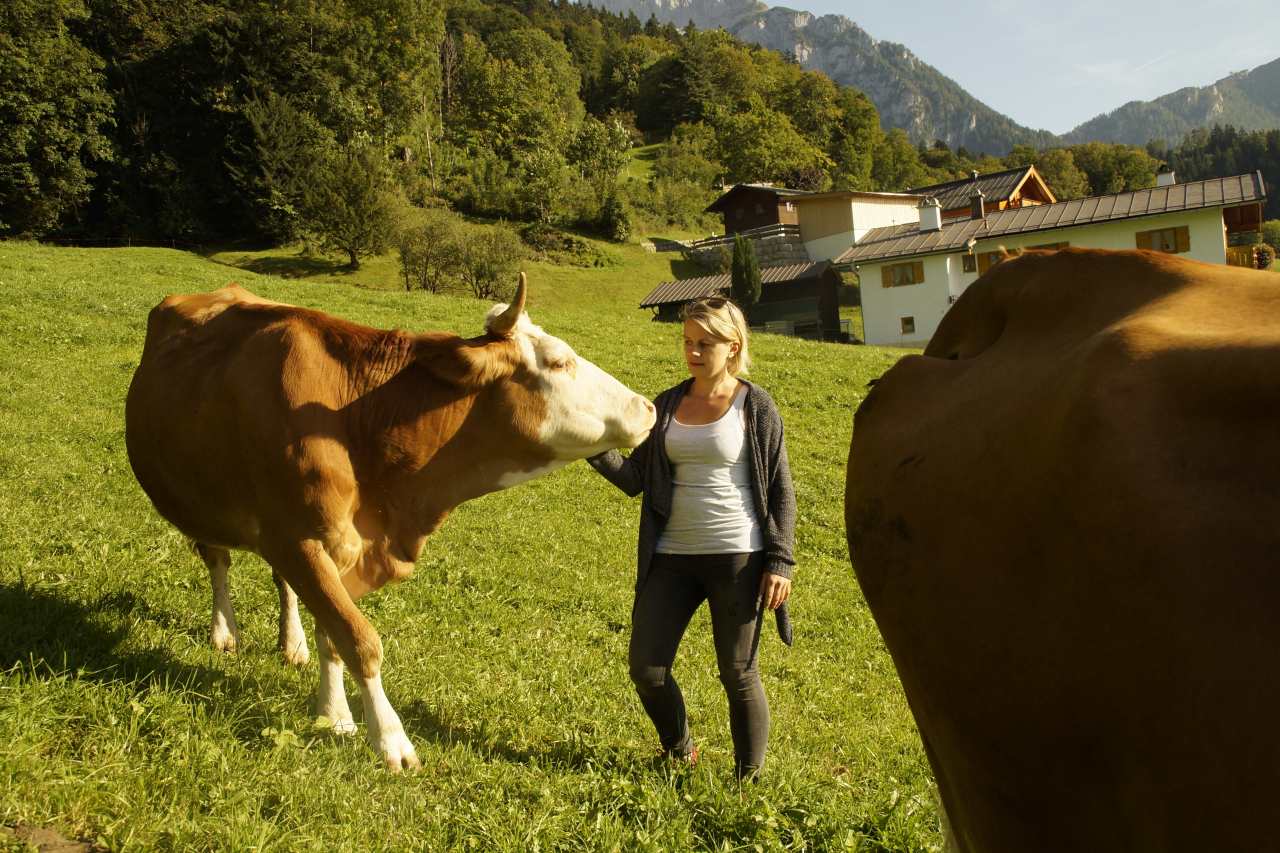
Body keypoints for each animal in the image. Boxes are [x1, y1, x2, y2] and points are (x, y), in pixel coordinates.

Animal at [126, 275, 655, 768]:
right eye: (560, 361)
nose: (648, 407)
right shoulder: (298, 540)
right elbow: (358, 639)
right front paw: (390, 740)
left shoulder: (340, 548)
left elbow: (333, 634)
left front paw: (334, 714)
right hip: (198, 498)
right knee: (217, 560)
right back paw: (225, 632)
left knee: (283, 586)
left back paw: (291, 644)